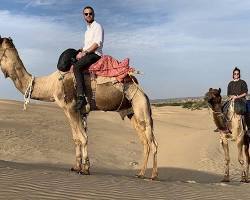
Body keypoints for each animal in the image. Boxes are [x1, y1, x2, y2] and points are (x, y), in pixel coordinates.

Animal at [0, 36, 158, 180]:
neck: (51, 84)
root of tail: (140, 88)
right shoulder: (69, 110)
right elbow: (76, 138)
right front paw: (76, 167)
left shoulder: (71, 107)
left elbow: (83, 137)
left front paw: (85, 169)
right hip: (132, 112)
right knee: (146, 142)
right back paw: (144, 173)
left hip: (141, 105)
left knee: (152, 142)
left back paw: (149, 175)